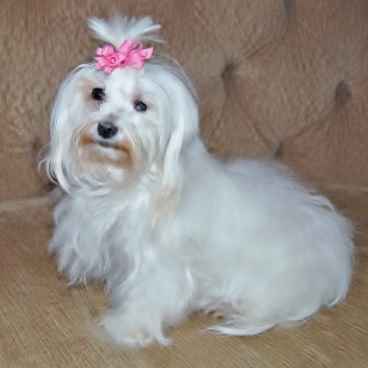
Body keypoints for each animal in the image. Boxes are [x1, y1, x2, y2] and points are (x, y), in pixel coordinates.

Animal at [44, 15, 356, 348]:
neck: (129, 183)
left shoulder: (159, 262)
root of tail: (336, 259)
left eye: (141, 105)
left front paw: (128, 326)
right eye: (97, 94)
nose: (105, 127)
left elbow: (148, 293)